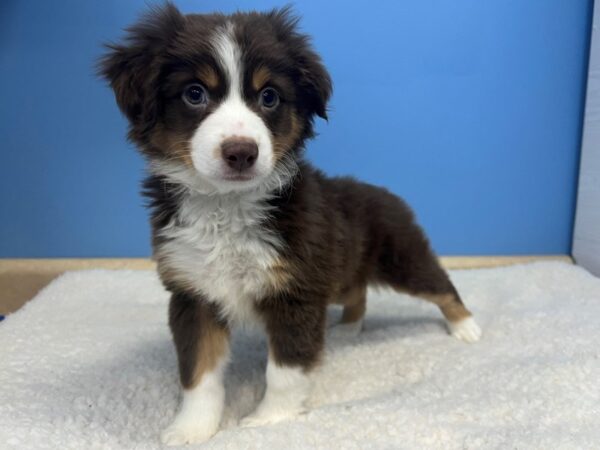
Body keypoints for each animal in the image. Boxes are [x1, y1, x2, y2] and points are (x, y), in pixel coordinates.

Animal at [99, 4, 482, 446]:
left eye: (269, 96)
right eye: (194, 94)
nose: (241, 152)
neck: (228, 207)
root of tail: (382, 191)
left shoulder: (296, 293)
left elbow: (284, 371)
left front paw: (269, 420)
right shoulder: (192, 293)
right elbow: (198, 373)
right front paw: (191, 429)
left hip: (402, 258)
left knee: (442, 286)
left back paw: (467, 328)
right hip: (340, 270)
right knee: (358, 291)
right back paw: (349, 329)